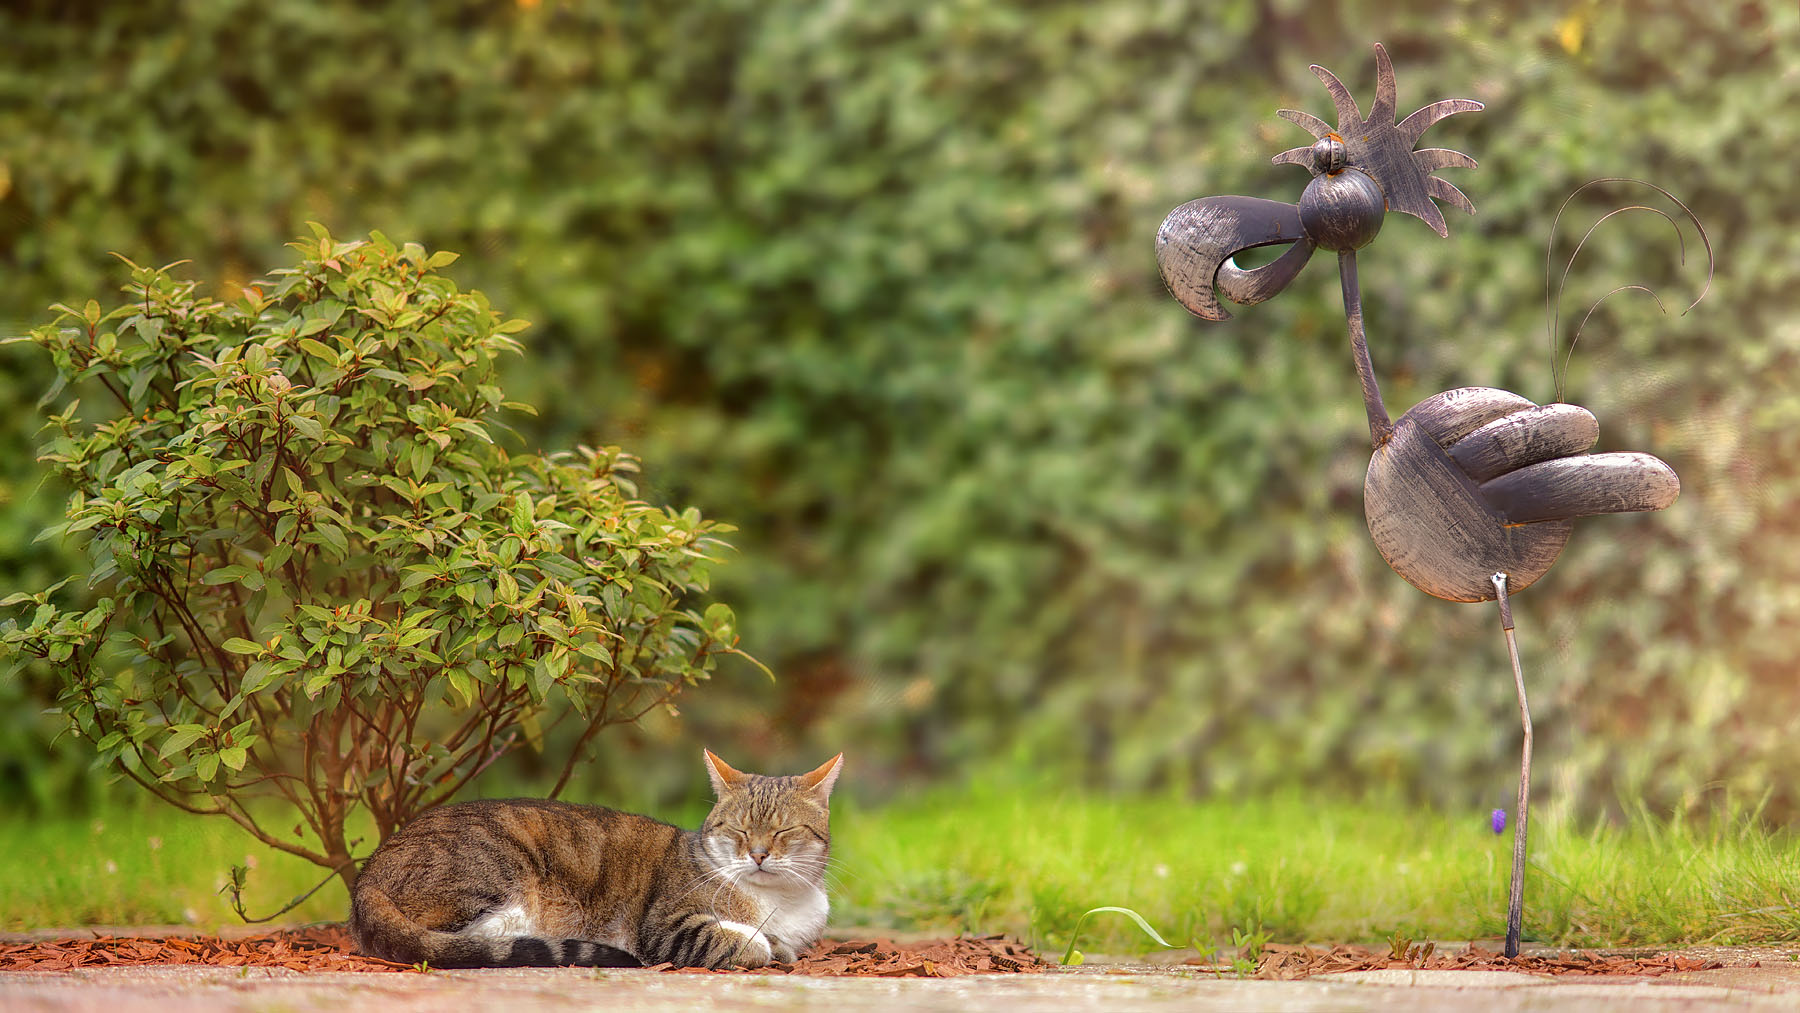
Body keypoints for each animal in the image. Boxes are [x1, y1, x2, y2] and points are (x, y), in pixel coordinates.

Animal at [349, 748, 842, 971]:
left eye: (782, 831)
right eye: (739, 830)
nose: (757, 855)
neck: (777, 900)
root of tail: (367, 875)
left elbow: (781, 943)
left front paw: (779, 945)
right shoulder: (666, 927)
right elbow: (740, 941)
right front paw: (761, 944)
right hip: (495, 874)